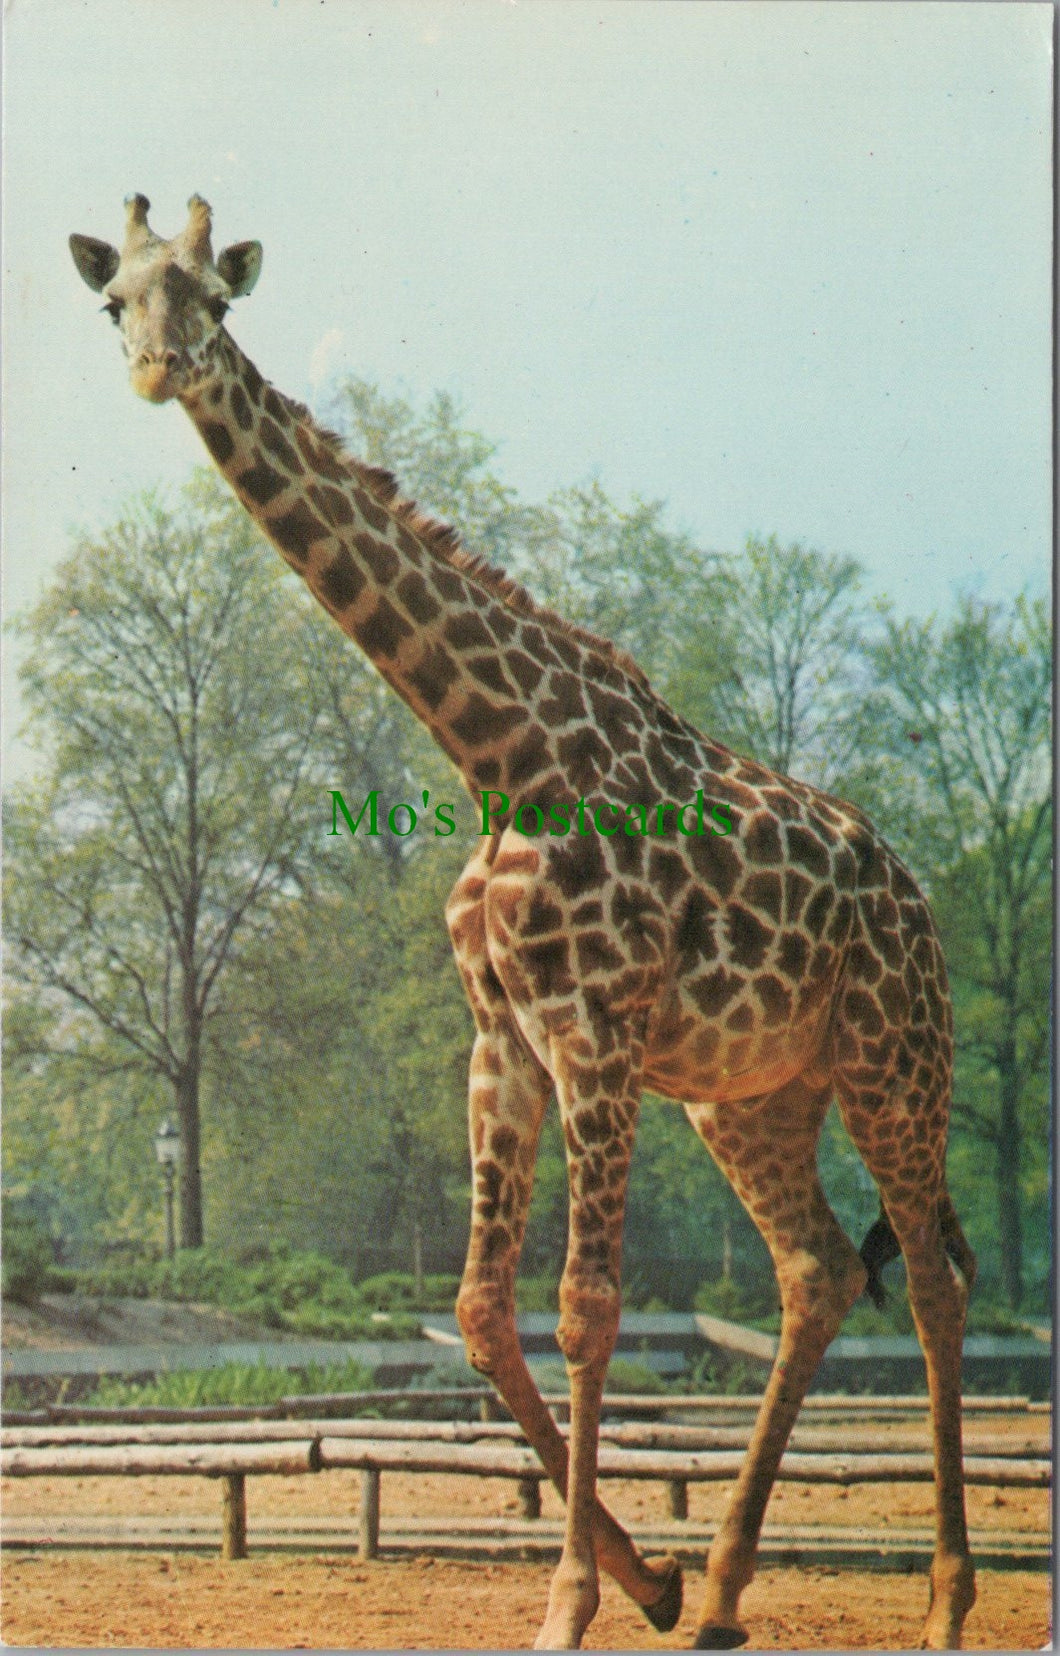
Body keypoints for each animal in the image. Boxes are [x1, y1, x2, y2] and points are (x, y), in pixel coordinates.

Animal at [69, 195, 978, 1651]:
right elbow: (481, 1313)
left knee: (934, 1282)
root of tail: (912, 895)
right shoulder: (499, 1036)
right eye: (118, 303)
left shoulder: (594, 1029)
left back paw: (945, 1595)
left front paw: (570, 1604)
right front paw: (647, 1580)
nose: (159, 368)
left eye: (213, 298)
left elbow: (587, 1309)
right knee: (821, 1270)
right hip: (749, 1097)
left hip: (895, 1058)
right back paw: (720, 1592)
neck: (499, 752)